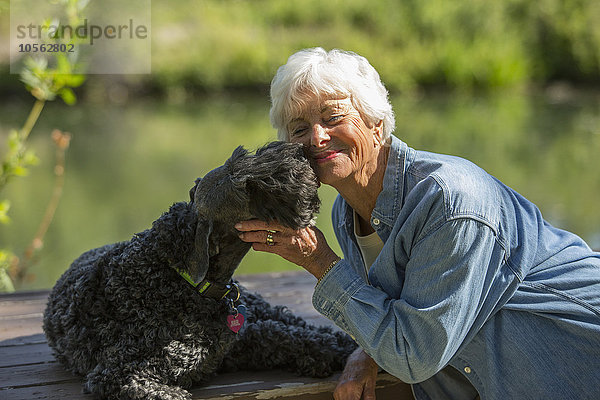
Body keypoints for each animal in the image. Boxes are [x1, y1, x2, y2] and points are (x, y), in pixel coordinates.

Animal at [45, 142, 360, 400]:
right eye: (246, 185)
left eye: (240, 156)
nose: (300, 152)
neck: (180, 281)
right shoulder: (120, 373)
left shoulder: (237, 339)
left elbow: (284, 334)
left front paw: (329, 349)